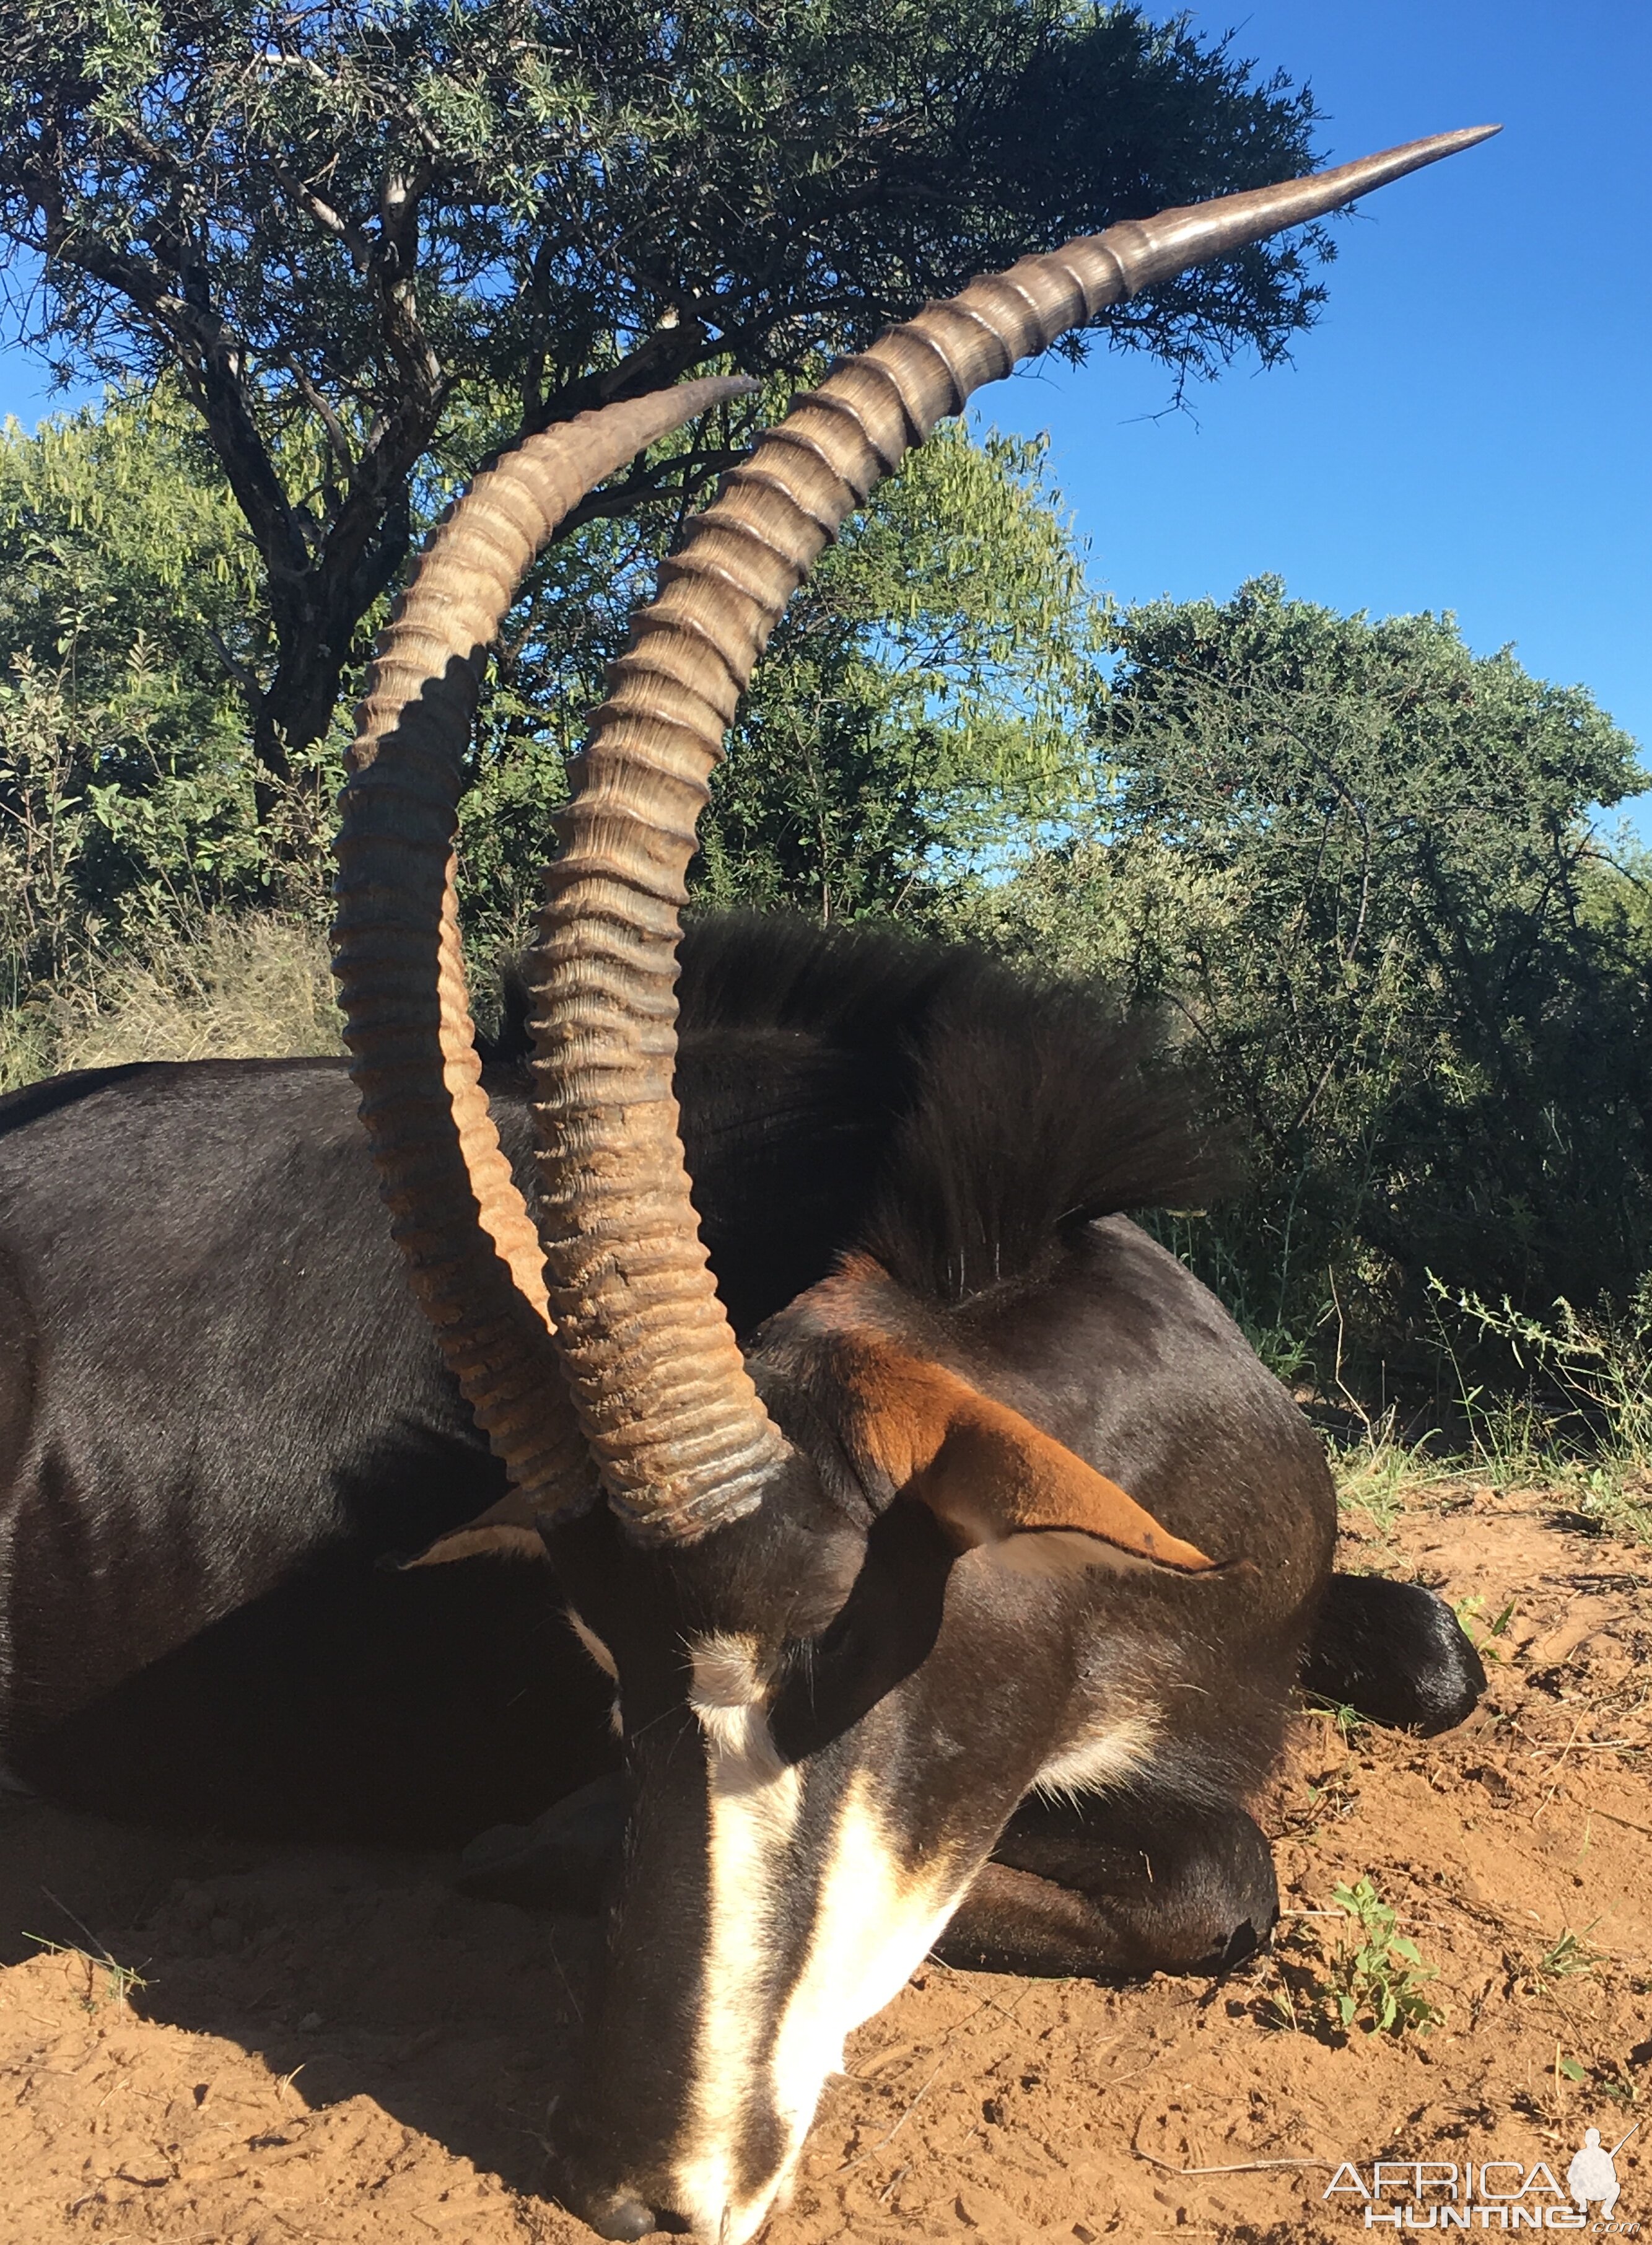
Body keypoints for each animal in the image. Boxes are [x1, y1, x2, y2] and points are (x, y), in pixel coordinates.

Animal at [323, 127, 1499, 2245]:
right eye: (599, 1666)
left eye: (832, 1654)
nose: (637, 2180)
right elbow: (1200, 1870)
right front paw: (548, 1846)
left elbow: (1310, 1785)